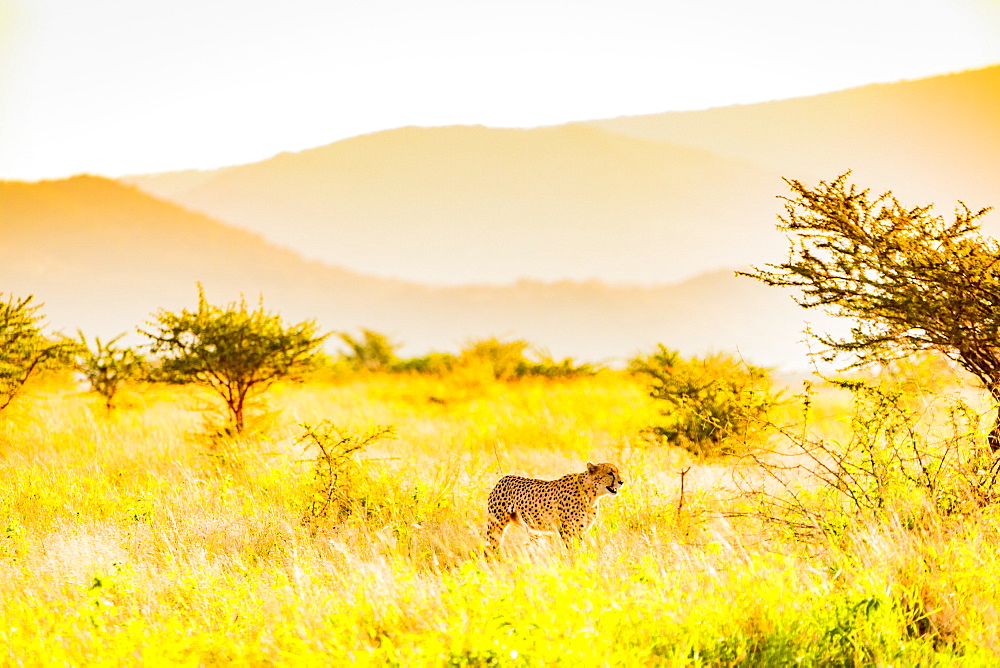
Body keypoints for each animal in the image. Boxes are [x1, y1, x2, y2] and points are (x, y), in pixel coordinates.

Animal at [486, 464, 624, 552]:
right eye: (610, 473)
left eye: (618, 472)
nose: (621, 482)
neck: (591, 495)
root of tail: (503, 479)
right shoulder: (567, 530)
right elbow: (572, 550)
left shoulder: (579, 531)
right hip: (495, 525)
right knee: (489, 548)